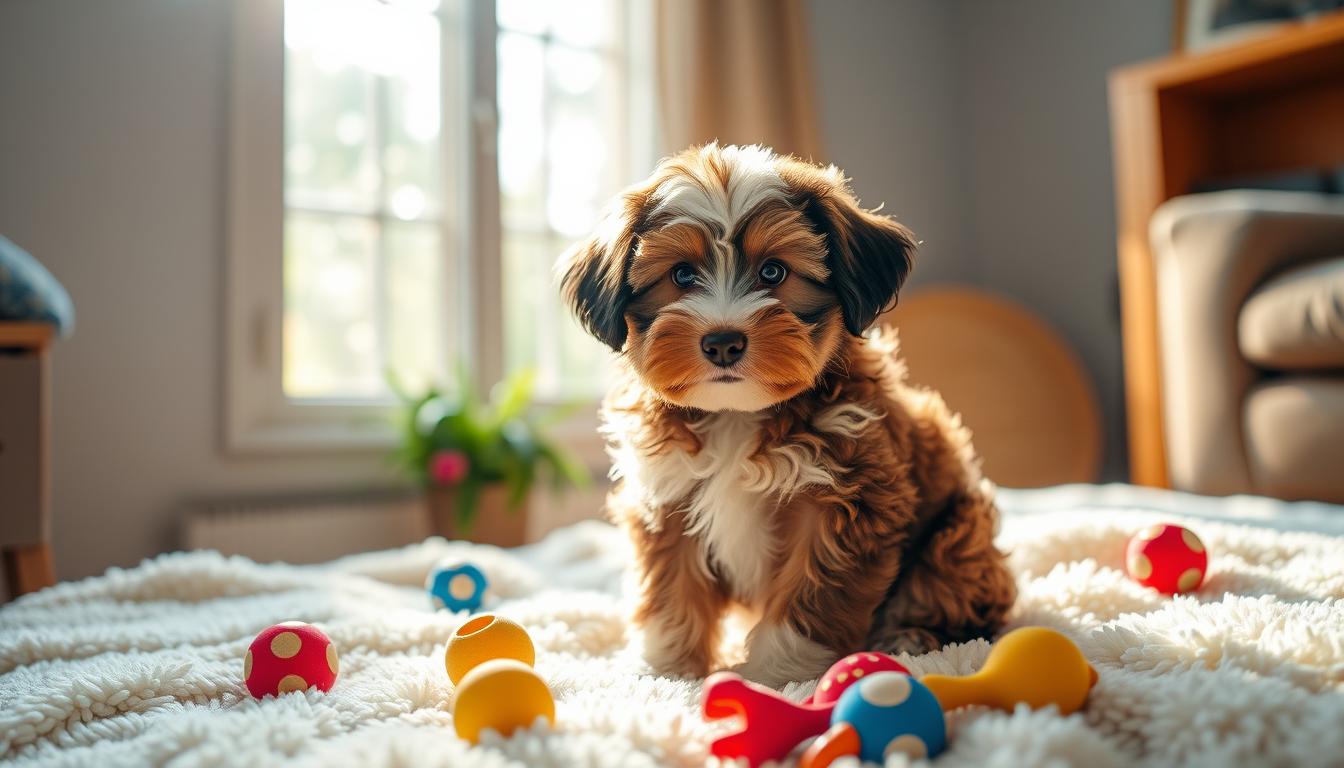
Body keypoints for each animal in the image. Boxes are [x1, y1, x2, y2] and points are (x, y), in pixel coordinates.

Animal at [561, 145, 1010, 688]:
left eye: (773, 272)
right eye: (682, 275)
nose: (722, 342)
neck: (735, 416)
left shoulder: (848, 503)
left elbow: (809, 600)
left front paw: (777, 677)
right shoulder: (668, 499)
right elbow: (672, 596)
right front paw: (668, 673)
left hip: (959, 535)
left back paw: (908, 638)